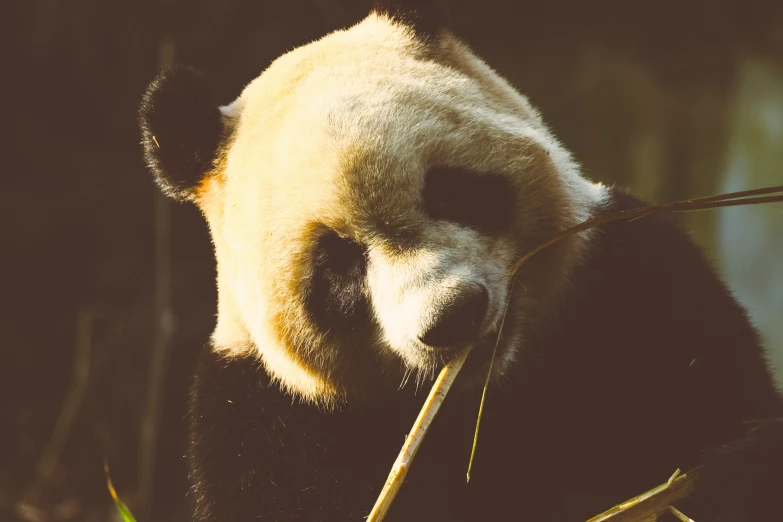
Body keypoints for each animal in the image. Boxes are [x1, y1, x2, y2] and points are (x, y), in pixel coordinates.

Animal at [139, 2, 783, 516]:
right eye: (340, 266)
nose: (452, 316)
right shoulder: (267, 418)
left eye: (448, 190)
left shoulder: (633, 280)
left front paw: (733, 473)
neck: (484, 397)